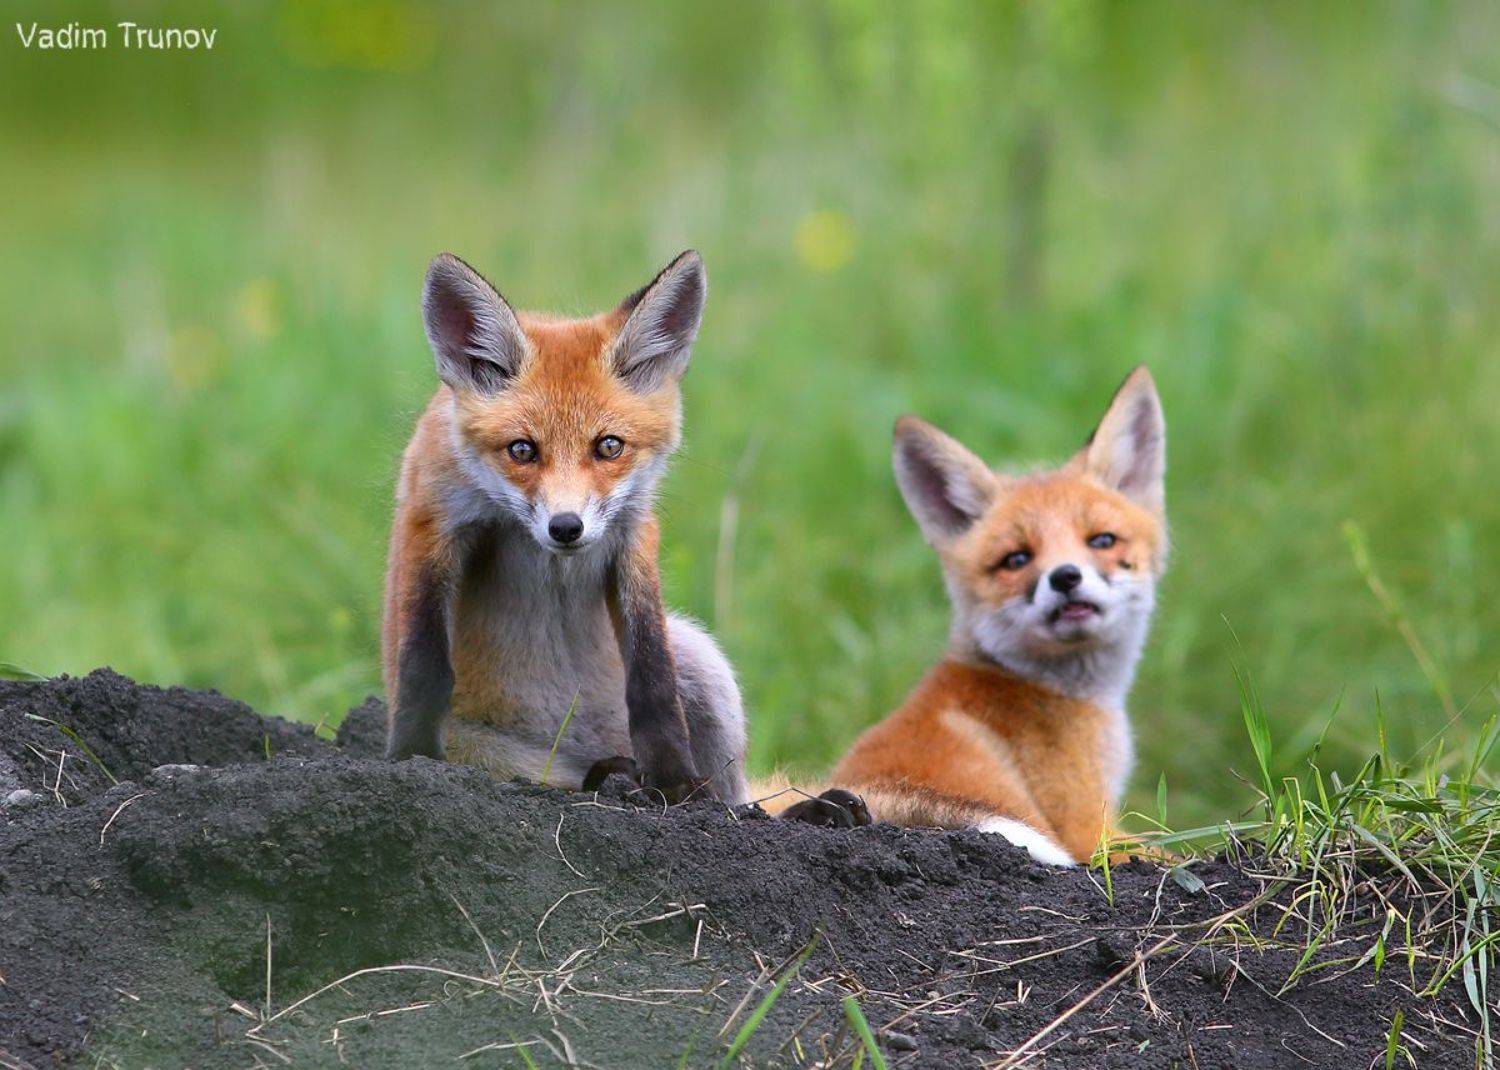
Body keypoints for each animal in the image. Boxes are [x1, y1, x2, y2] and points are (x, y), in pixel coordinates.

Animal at [382, 250, 749, 805]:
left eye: (609, 446)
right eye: (522, 450)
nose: (566, 527)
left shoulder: (633, 534)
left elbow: (653, 679)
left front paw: (675, 785)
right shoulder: (433, 522)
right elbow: (424, 664)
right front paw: (412, 761)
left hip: (703, 662)